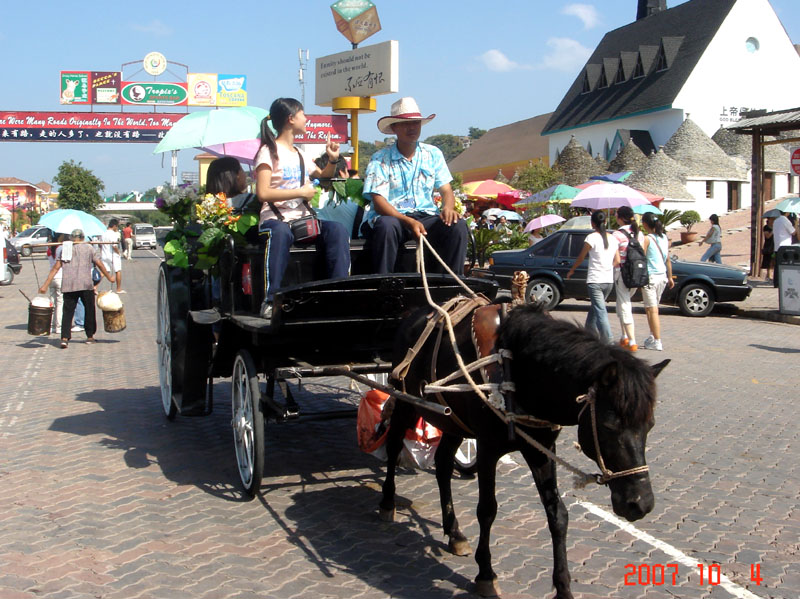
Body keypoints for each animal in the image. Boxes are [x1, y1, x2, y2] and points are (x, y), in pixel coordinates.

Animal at [382, 302, 668, 596]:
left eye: (650, 425)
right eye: (609, 425)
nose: (641, 503)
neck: (518, 371)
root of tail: (412, 314)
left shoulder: (541, 449)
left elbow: (558, 514)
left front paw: (563, 587)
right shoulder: (487, 448)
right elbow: (487, 510)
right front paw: (486, 573)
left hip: (453, 421)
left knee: (442, 464)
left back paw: (454, 532)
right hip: (406, 402)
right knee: (393, 445)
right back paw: (387, 502)